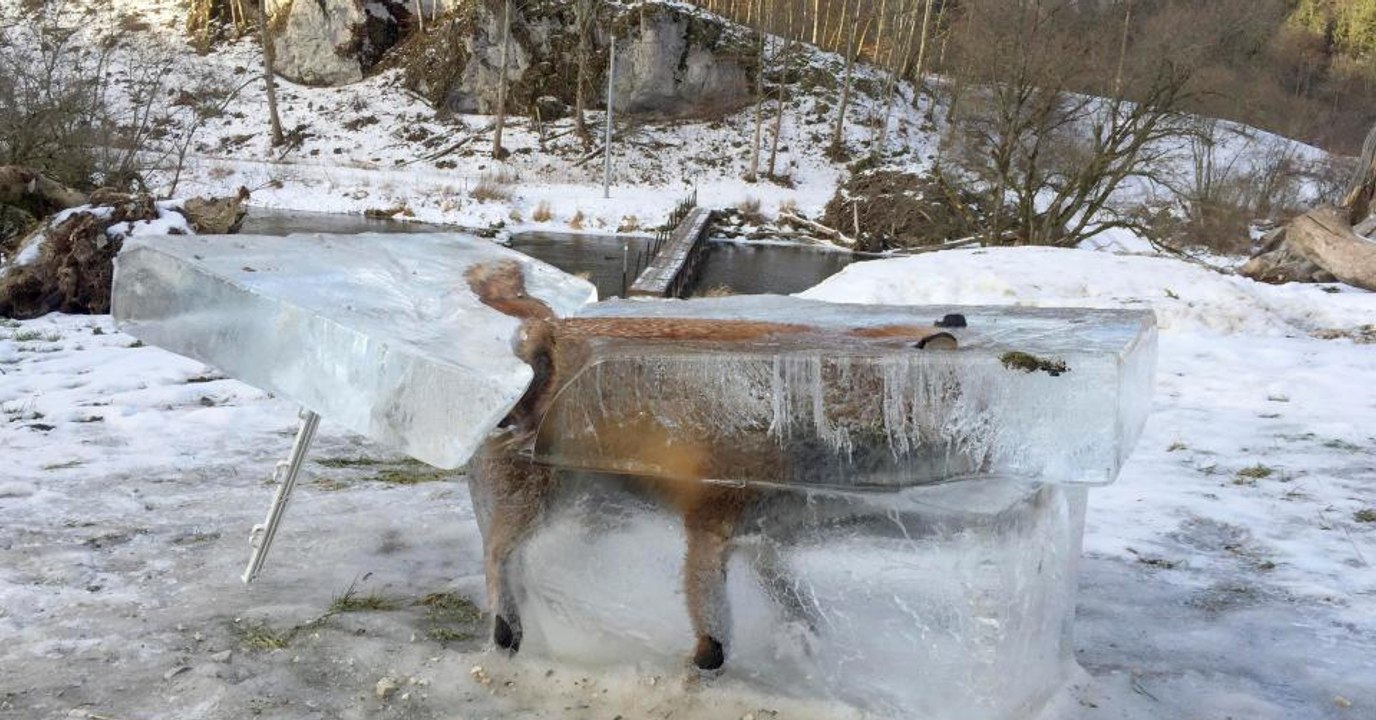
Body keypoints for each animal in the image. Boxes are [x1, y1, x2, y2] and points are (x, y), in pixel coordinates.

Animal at [464, 260, 959, 671]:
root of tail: (549, 327)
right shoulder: (710, 522)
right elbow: (715, 633)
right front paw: (703, 667)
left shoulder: (766, 536)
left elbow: (795, 601)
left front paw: (803, 641)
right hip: (540, 501)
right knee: (497, 554)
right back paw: (508, 629)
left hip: (594, 510)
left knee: (534, 560)